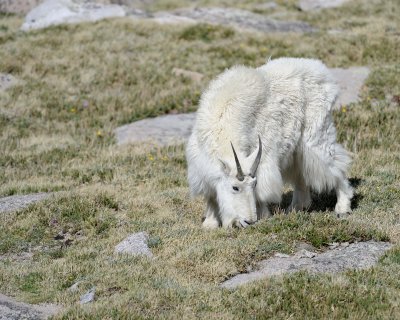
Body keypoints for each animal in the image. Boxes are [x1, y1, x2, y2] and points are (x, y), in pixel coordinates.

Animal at [187, 57, 354, 228]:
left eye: (253, 185)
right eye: (235, 187)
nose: (248, 221)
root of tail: (323, 74)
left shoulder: (263, 156)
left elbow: (262, 191)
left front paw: (263, 214)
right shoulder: (202, 167)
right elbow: (211, 195)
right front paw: (210, 224)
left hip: (317, 135)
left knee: (336, 166)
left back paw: (342, 207)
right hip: (297, 148)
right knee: (301, 172)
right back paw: (295, 208)